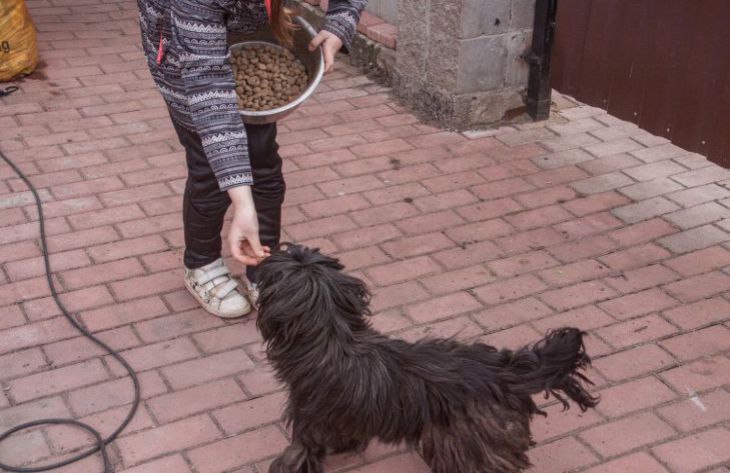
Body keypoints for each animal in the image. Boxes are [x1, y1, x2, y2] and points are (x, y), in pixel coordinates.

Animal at [256, 243, 596, 472]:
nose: (278, 247)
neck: (333, 334)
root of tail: (503, 373)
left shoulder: (308, 416)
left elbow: (299, 451)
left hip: (469, 446)